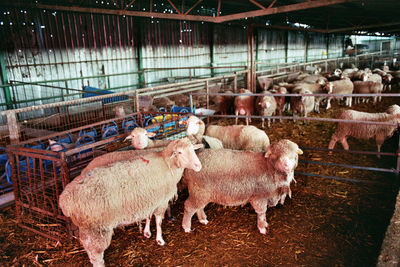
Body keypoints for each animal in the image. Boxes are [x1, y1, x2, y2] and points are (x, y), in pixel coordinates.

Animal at [58, 138, 203, 267]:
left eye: (193, 150)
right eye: (180, 152)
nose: (199, 166)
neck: (167, 164)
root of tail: (65, 199)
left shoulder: (149, 199)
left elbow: (148, 217)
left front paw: (147, 233)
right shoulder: (161, 201)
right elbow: (158, 221)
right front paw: (160, 240)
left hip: (87, 227)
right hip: (96, 228)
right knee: (96, 253)